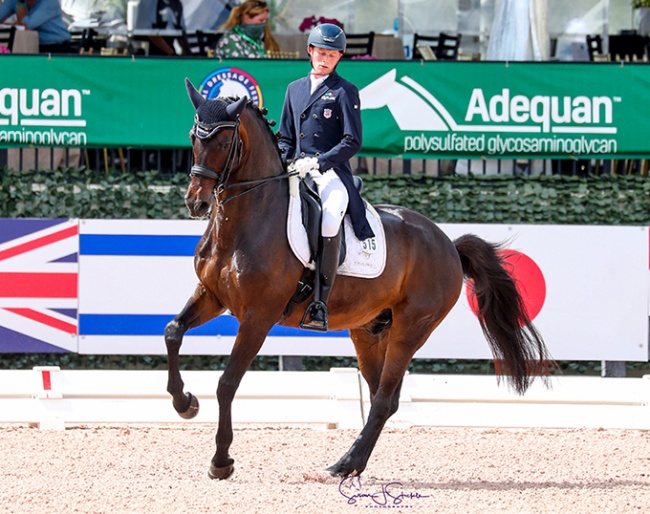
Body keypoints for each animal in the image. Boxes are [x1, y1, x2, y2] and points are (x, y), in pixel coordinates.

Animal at [166, 79, 552, 476]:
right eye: (194, 136)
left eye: (224, 142)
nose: (196, 203)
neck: (246, 221)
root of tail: (448, 244)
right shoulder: (212, 295)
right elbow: (173, 332)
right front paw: (185, 403)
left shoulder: (258, 316)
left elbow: (227, 382)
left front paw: (221, 460)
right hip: (368, 331)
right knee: (386, 396)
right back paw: (351, 462)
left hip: (409, 330)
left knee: (383, 398)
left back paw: (346, 463)